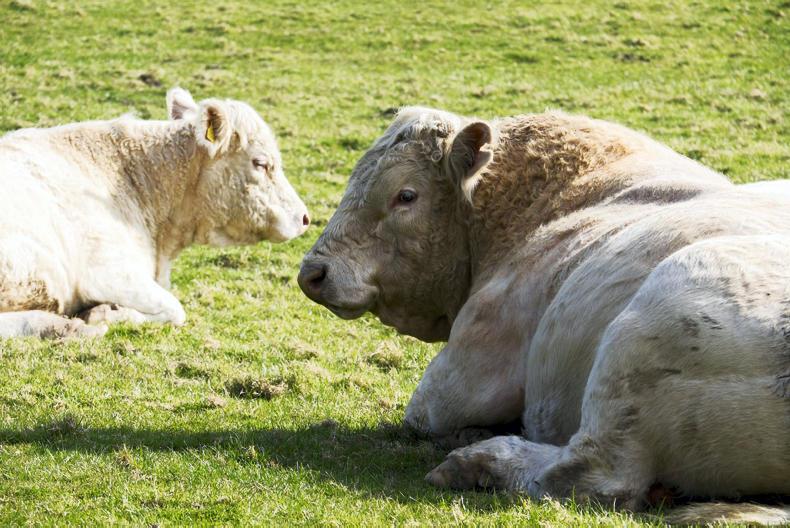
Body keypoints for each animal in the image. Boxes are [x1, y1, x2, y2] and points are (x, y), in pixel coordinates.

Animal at [298, 107, 790, 523]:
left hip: (648, 332)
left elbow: (421, 416)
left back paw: (480, 460)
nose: (312, 272)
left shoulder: (459, 377)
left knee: (591, 477)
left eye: (406, 195)